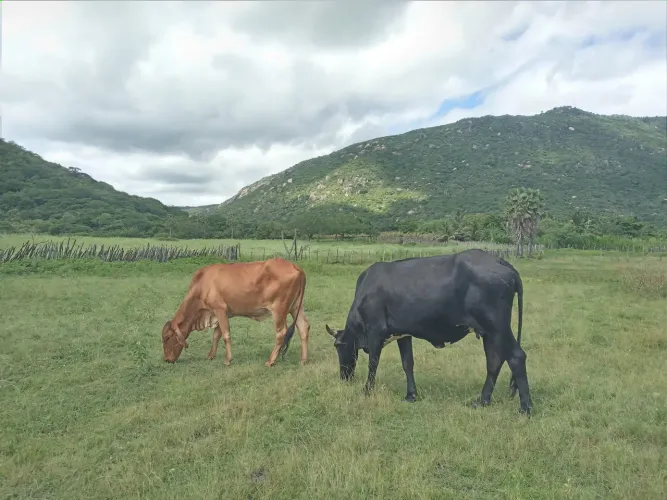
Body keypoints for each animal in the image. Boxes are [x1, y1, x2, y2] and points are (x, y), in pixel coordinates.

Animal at [162, 257, 309, 367]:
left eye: (167, 338)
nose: (167, 360)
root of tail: (295, 266)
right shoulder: (219, 314)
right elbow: (216, 335)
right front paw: (210, 355)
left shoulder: (220, 309)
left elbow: (225, 335)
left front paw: (228, 360)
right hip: (296, 306)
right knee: (303, 327)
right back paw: (303, 360)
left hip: (279, 309)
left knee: (281, 332)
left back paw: (270, 360)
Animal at [325, 249, 533, 415]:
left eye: (338, 346)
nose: (343, 377)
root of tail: (499, 261)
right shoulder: (403, 334)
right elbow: (407, 363)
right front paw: (411, 395)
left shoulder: (375, 331)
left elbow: (373, 364)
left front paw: (367, 391)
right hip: (489, 333)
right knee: (494, 361)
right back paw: (482, 401)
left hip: (497, 326)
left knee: (516, 357)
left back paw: (525, 408)